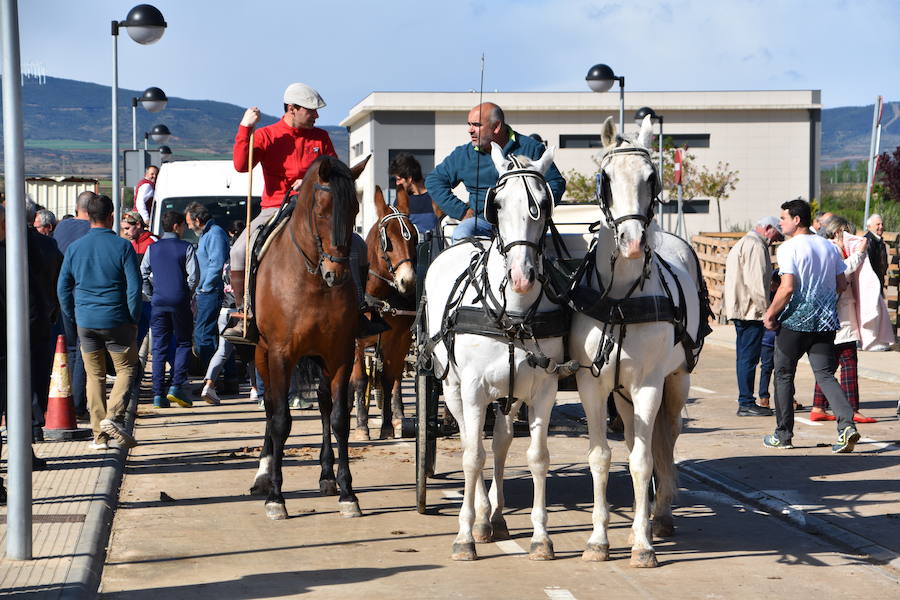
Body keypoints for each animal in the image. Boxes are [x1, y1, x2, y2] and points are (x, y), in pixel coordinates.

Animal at [251, 155, 368, 520]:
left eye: (355, 208)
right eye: (322, 210)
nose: (336, 273)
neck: (312, 280)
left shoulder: (340, 354)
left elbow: (339, 419)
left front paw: (347, 492)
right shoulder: (280, 354)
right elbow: (279, 419)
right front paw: (276, 496)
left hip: (320, 357)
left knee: (324, 404)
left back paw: (327, 475)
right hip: (261, 354)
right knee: (271, 406)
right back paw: (263, 473)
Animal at [354, 186, 420, 440]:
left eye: (414, 238)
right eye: (387, 241)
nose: (408, 281)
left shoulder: (398, 339)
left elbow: (389, 378)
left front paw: (389, 425)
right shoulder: (355, 341)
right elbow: (360, 379)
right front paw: (361, 426)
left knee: (395, 378)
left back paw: (399, 415)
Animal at [428, 143, 568, 560]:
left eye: (544, 202)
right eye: (498, 204)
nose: (522, 276)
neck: (514, 314)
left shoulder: (543, 389)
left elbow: (537, 458)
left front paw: (541, 537)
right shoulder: (473, 389)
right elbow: (473, 456)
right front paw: (465, 535)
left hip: (510, 393)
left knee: (502, 443)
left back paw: (497, 515)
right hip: (452, 386)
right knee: (468, 440)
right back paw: (480, 516)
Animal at [572, 116, 708, 568]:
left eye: (653, 177)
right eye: (606, 179)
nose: (633, 243)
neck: (620, 300)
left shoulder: (648, 384)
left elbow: (644, 461)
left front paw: (643, 544)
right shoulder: (592, 384)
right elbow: (602, 458)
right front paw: (599, 540)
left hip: (676, 380)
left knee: (666, 437)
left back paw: (659, 515)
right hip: (622, 392)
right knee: (635, 437)